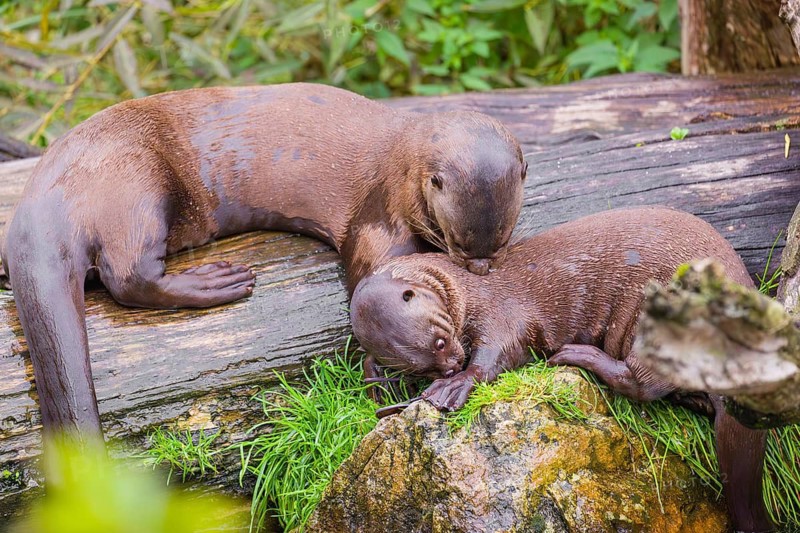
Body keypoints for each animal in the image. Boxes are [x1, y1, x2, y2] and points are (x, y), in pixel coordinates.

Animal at [3, 83, 527, 442]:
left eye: (501, 241)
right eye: (456, 242)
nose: (480, 269)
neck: (402, 164)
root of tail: (40, 207)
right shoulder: (379, 212)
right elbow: (369, 273)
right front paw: (378, 365)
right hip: (136, 183)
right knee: (126, 277)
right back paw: (220, 283)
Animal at [350, 206, 772, 533]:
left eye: (438, 342)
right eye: (420, 366)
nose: (452, 364)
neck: (464, 285)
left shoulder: (499, 309)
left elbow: (498, 350)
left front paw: (456, 385)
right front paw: (384, 383)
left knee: (642, 382)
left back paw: (574, 355)